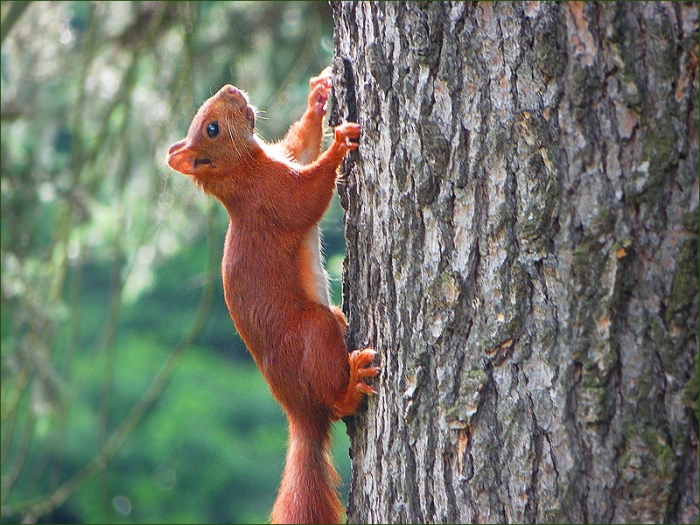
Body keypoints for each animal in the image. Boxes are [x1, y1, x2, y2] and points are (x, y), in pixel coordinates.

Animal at [167, 67, 379, 524]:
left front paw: (319, 97)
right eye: (212, 129)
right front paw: (339, 144)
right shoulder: (272, 198)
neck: (245, 168)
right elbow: (308, 198)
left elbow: (301, 144)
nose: (231, 88)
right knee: (335, 406)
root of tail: (297, 412)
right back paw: (352, 384)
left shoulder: (284, 159)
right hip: (313, 331)